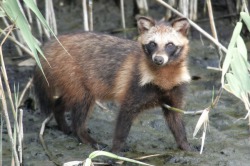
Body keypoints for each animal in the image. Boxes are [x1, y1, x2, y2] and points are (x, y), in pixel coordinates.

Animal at [33, 16, 191, 152]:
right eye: (152, 44)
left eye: (170, 45)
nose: (158, 59)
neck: (163, 75)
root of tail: (53, 43)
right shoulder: (133, 89)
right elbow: (122, 123)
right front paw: (116, 151)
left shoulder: (174, 92)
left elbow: (176, 120)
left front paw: (185, 145)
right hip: (75, 80)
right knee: (80, 109)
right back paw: (84, 135)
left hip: (71, 83)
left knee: (60, 102)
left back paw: (63, 123)